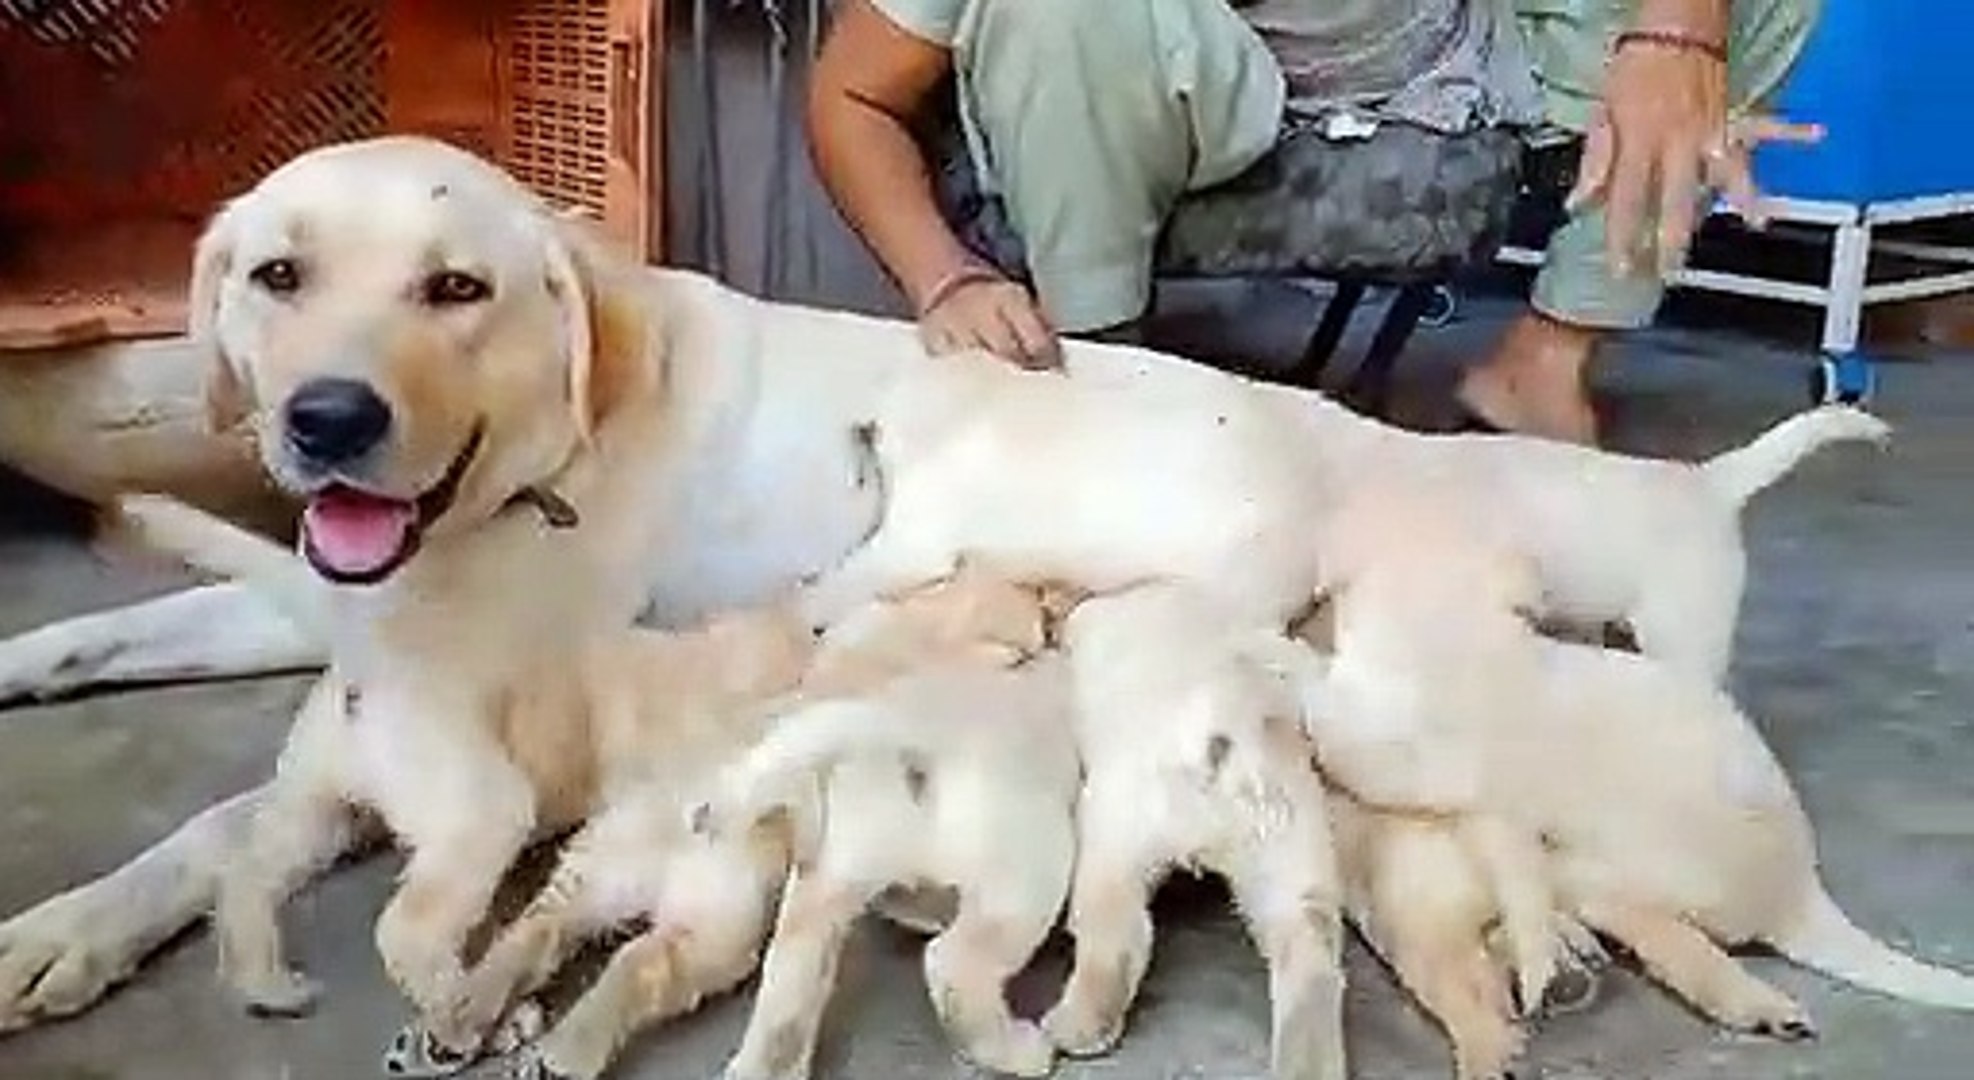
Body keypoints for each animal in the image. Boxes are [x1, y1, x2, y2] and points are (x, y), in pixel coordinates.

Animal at [690, 592, 1081, 1080]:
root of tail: (895, 727)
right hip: (1031, 863)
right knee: (953, 962)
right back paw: (1017, 1050)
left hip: (830, 878)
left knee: (788, 979)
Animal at [1050, 588, 1358, 1080]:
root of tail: (1232, 739)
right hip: (1290, 850)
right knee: (1311, 959)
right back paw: (1308, 1064)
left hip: (1117, 832)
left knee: (1115, 932)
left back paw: (1077, 1026)